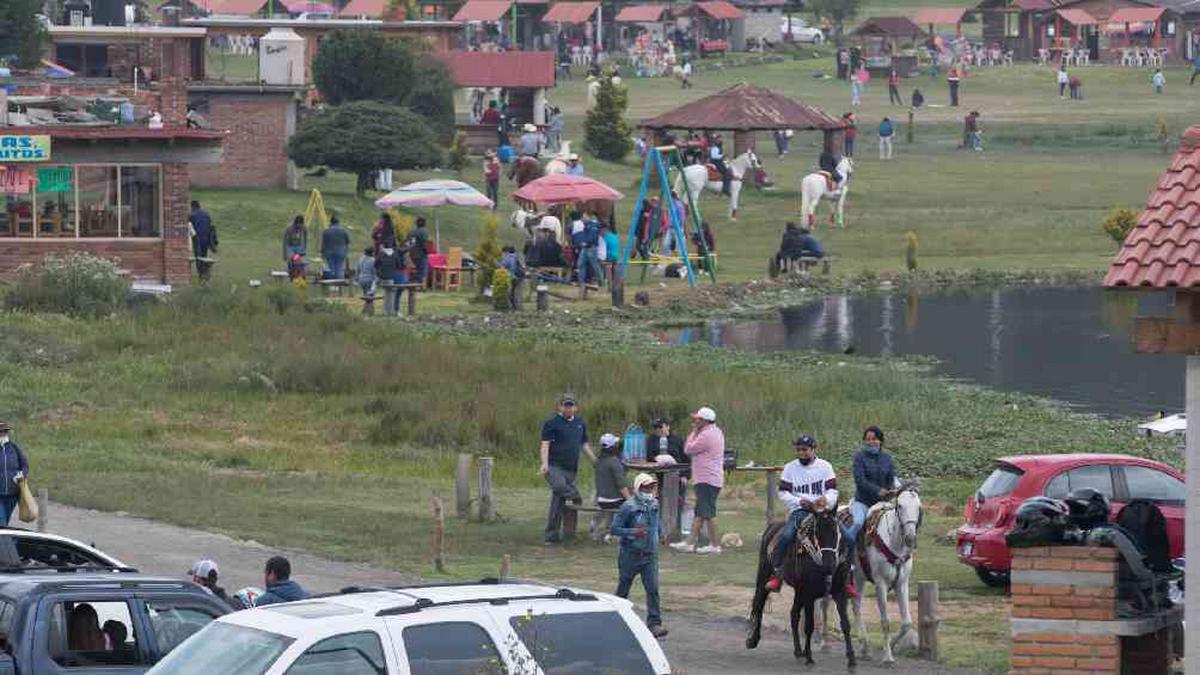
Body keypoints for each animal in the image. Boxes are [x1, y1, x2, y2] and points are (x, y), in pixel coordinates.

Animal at [744, 509, 859, 667]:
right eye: (817, 533)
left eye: (836, 533)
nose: (829, 564)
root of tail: (772, 527)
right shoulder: (809, 594)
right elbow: (809, 625)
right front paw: (809, 656)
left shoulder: (839, 592)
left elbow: (845, 624)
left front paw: (852, 657)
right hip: (764, 575)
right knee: (759, 603)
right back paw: (752, 639)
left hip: (799, 590)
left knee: (794, 614)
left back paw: (798, 651)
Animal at [820, 478, 921, 662]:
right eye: (900, 505)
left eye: (918, 506)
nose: (910, 538)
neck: (892, 542)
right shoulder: (880, 584)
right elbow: (885, 621)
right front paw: (887, 657)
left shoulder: (902, 584)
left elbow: (907, 623)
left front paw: (890, 646)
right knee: (825, 602)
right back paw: (825, 644)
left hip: (858, 578)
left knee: (856, 604)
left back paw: (864, 646)